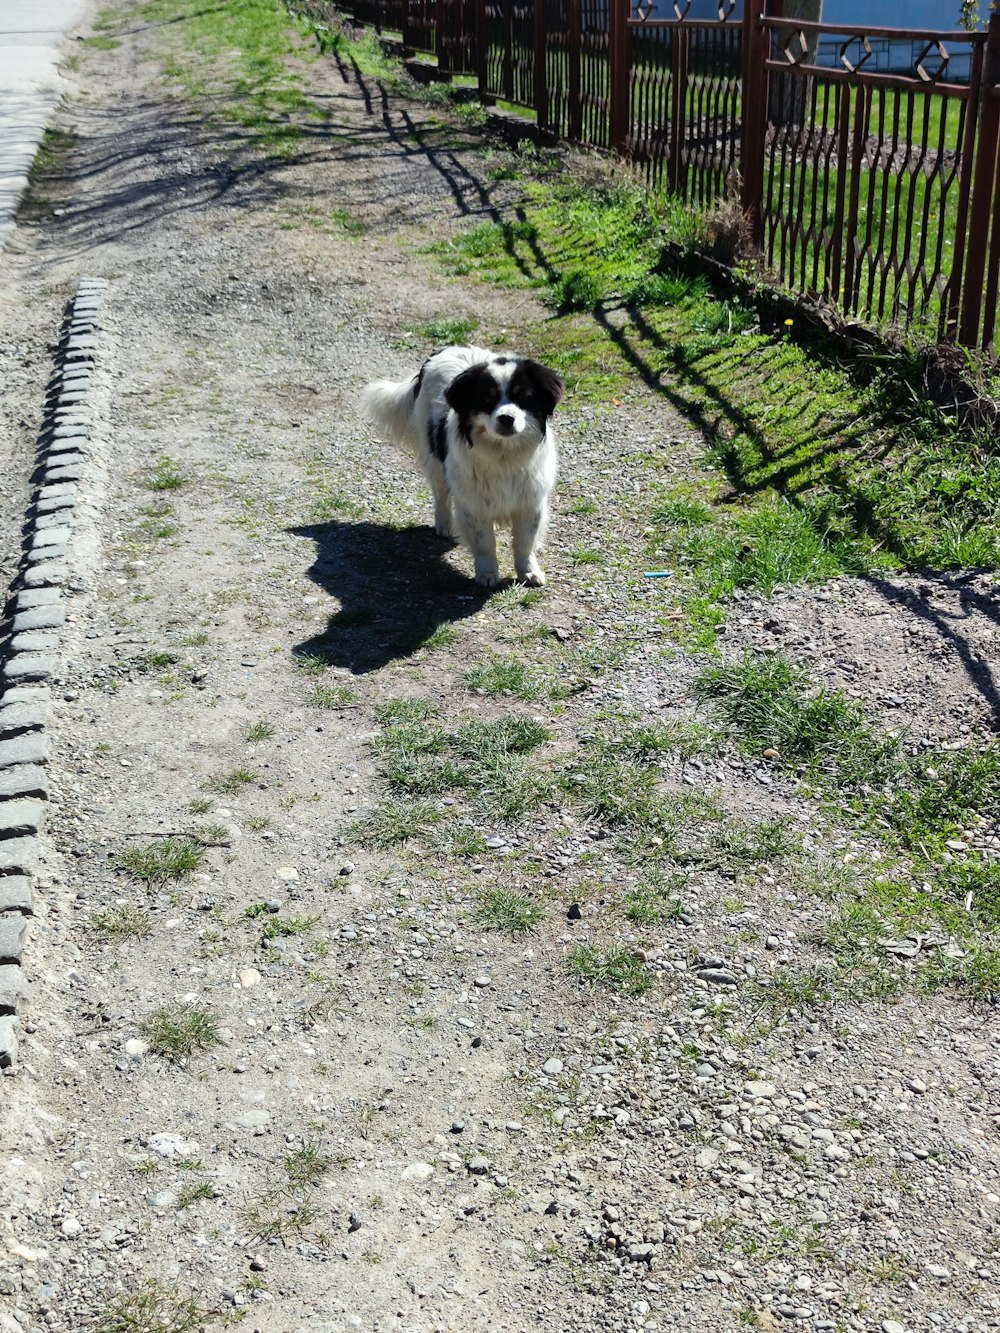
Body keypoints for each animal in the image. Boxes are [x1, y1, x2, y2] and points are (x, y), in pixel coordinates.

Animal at [360, 346, 565, 586]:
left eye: (523, 396)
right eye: (487, 398)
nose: (506, 418)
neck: (503, 454)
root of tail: (447, 348)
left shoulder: (530, 502)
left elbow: (525, 542)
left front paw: (529, 572)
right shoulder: (472, 502)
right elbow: (484, 543)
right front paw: (487, 574)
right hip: (434, 460)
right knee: (440, 494)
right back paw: (444, 525)